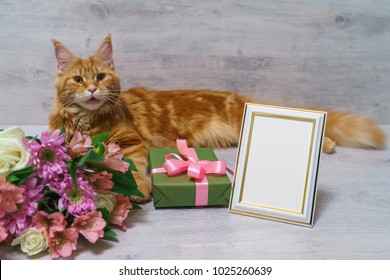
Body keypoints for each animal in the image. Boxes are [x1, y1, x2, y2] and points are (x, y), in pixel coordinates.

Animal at [49, 35, 386, 202]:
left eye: (101, 77)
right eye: (78, 79)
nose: (92, 89)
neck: (89, 122)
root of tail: (241, 97)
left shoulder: (132, 140)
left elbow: (131, 166)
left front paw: (139, 189)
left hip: (242, 122)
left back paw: (326, 145)